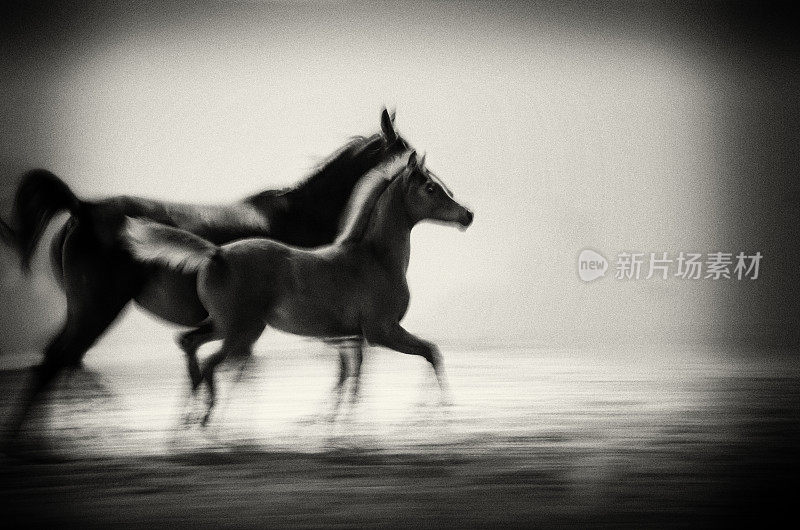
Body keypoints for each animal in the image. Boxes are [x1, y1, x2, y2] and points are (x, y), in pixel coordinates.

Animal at [1, 107, 412, 434]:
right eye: (407, 151)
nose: (422, 172)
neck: (299, 217)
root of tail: (82, 208)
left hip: (84, 310)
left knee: (62, 364)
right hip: (97, 309)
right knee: (55, 364)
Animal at [126, 147, 472, 420]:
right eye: (431, 187)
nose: (467, 215)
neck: (375, 259)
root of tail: (217, 253)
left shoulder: (351, 337)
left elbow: (350, 380)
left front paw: (334, 426)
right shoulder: (381, 330)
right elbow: (430, 352)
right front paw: (440, 410)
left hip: (225, 326)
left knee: (190, 345)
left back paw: (187, 422)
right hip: (242, 331)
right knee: (212, 363)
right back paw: (206, 422)